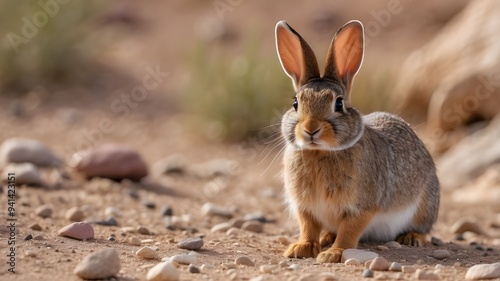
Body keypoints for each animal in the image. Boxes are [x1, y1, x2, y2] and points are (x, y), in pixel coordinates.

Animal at [276, 20, 440, 262]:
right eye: (296, 103)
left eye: (339, 103)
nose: (310, 129)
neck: (320, 151)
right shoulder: (305, 208)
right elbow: (308, 227)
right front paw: (301, 248)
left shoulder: (361, 207)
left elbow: (349, 231)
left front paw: (333, 254)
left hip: (426, 204)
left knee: (422, 228)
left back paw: (411, 238)